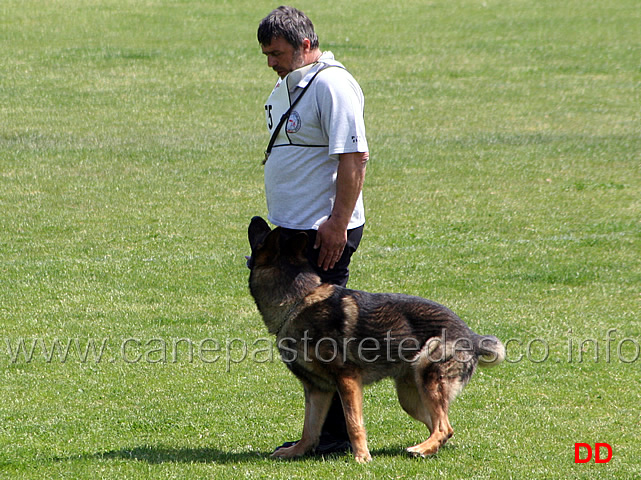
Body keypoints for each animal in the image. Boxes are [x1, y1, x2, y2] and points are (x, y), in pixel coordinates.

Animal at [248, 217, 502, 462]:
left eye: (260, 237)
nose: (255, 218)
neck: (298, 301)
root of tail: (472, 336)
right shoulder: (317, 389)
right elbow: (309, 429)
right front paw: (297, 451)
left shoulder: (347, 380)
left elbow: (353, 423)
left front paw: (361, 456)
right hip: (410, 397)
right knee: (441, 426)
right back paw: (428, 449)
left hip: (428, 376)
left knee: (444, 427)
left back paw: (422, 449)